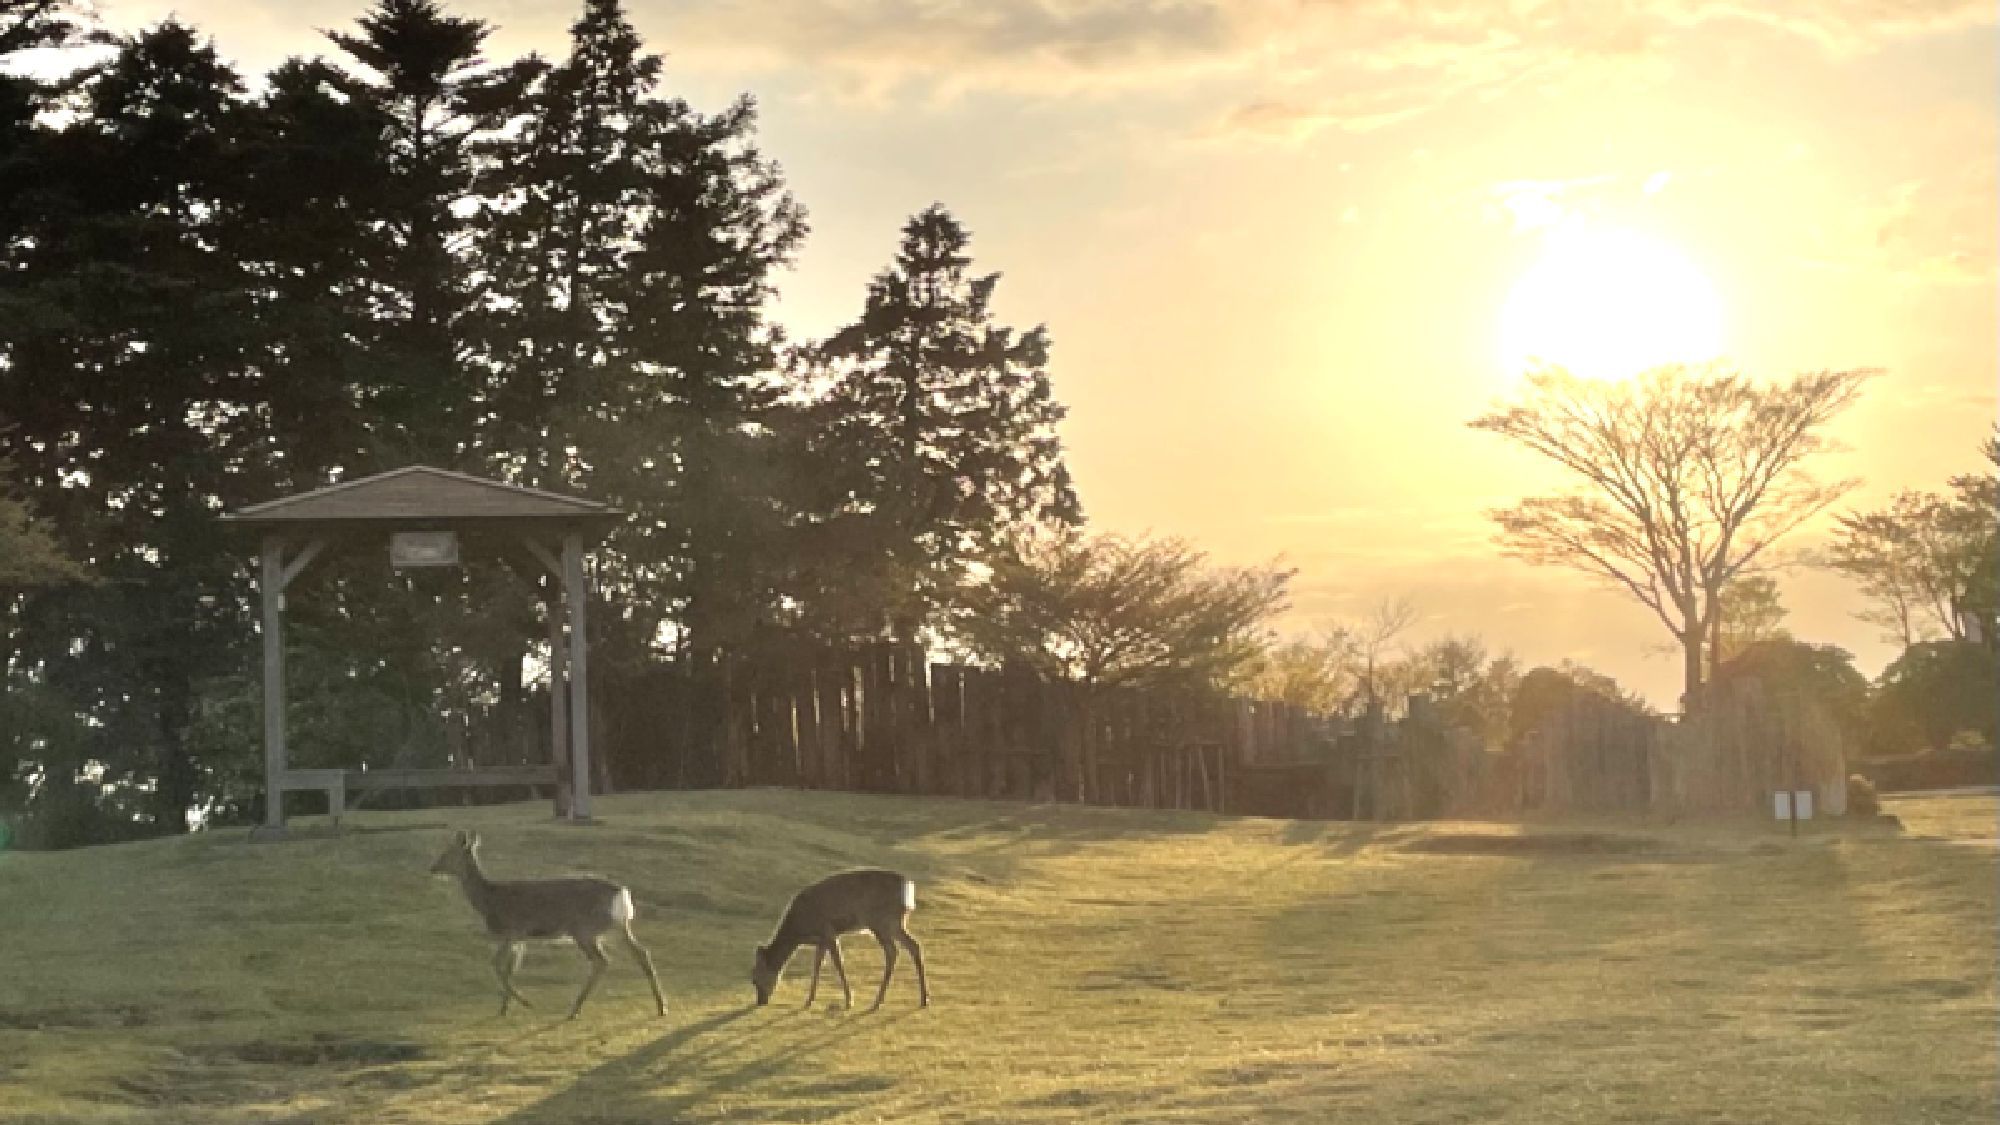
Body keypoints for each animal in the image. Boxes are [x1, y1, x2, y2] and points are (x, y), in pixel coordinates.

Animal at [426, 824, 668, 1016]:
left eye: (447, 853)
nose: (432, 868)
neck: (489, 900)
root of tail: (621, 893)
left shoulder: (513, 930)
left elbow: (496, 965)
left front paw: (524, 1002)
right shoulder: (520, 939)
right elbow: (510, 969)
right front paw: (504, 1008)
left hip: (584, 929)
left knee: (602, 961)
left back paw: (575, 1009)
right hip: (617, 927)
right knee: (641, 953)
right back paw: (661, 1007)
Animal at [752, 860, 932, 1012]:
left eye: (754, 979)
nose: (760, 1001)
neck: (798, 932)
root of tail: (907, 885)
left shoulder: (828, 931)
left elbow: (838, 964)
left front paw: (849, 1001)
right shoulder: (821, 940)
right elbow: (817, 965)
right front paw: (809, 1000)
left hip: (882, 921)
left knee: (893, 952)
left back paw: (877, 1002)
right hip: (895, 922)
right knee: (913, 945)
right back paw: (923, 999)